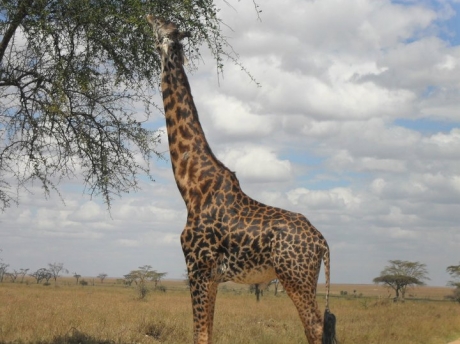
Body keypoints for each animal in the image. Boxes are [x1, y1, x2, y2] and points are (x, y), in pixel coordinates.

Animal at [147, 14, 338, 344]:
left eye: (161, 25)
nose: (147, 17)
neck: (192, 187)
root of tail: (322, 243)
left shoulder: (197, 267)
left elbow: (200, 334)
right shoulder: (211, 276)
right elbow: (207, 332)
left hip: (295, 276)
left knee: (315, 325)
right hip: (305, 278)